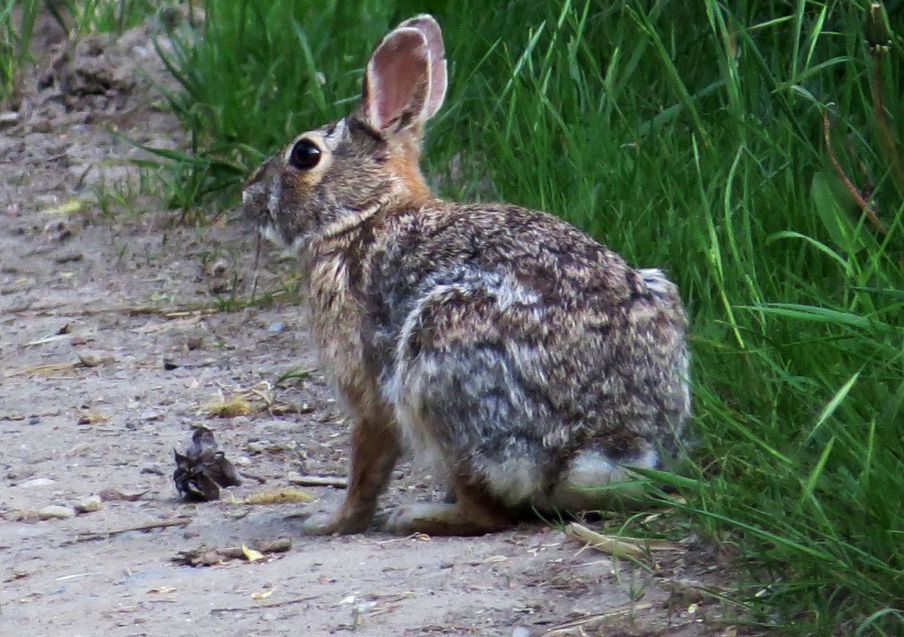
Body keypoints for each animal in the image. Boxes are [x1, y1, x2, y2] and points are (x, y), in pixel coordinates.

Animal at [242, 14, 692, 536]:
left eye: (305, 154)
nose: (249, 193)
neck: (366, 214)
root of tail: (597, 447)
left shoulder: (369, 388)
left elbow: (367, 462)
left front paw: (331, 522)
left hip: (440, 356)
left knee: (488, 512)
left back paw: (420, 515)